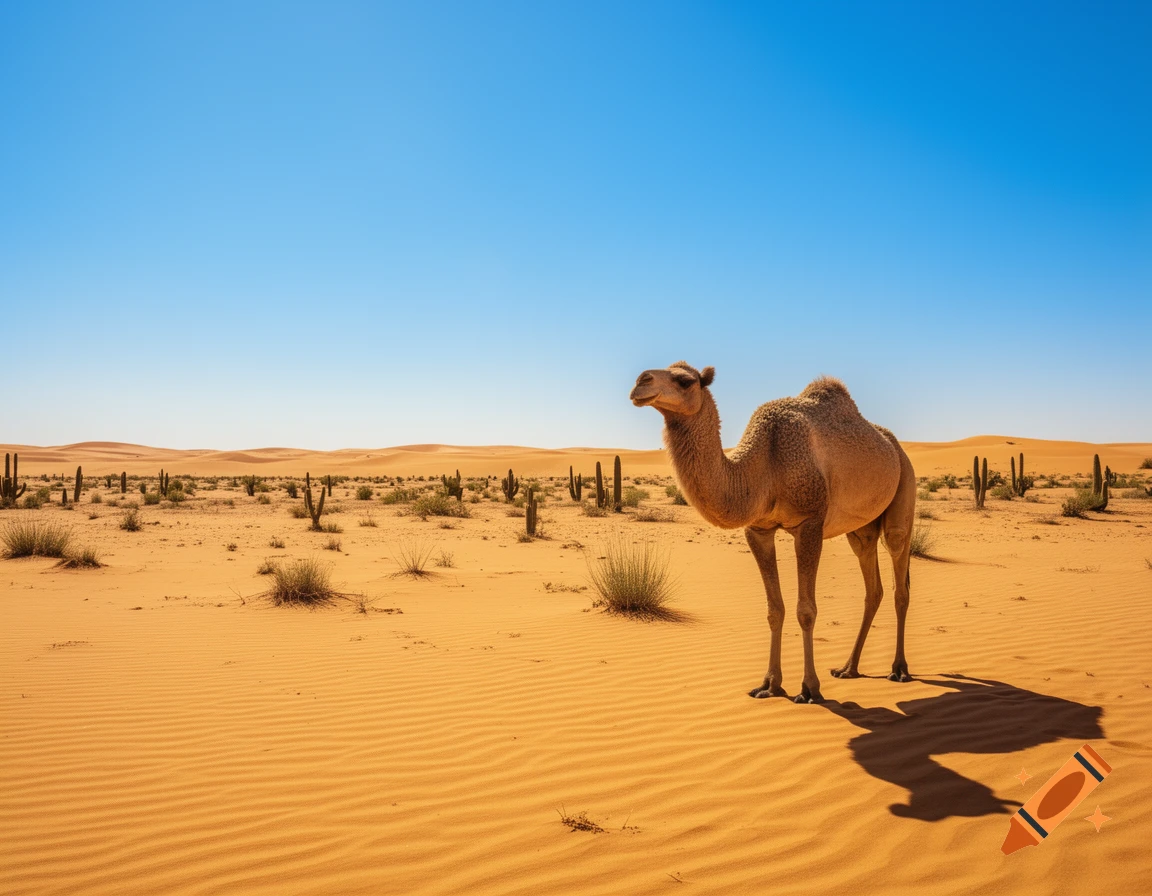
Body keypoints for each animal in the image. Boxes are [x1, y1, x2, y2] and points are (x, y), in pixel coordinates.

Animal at [630, 362, 916, 703]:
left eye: (685, 380)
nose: (641, 381)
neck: (764, 464)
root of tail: (894, 445)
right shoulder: (758, 530)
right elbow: (774, 609)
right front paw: (769, 684)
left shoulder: (809, 524)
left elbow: (806, 610)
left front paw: (809, 688)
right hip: (860, 529)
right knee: (872, 586)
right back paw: (849, 667)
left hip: (905, 487)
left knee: (900, 576)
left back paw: (899, 669)